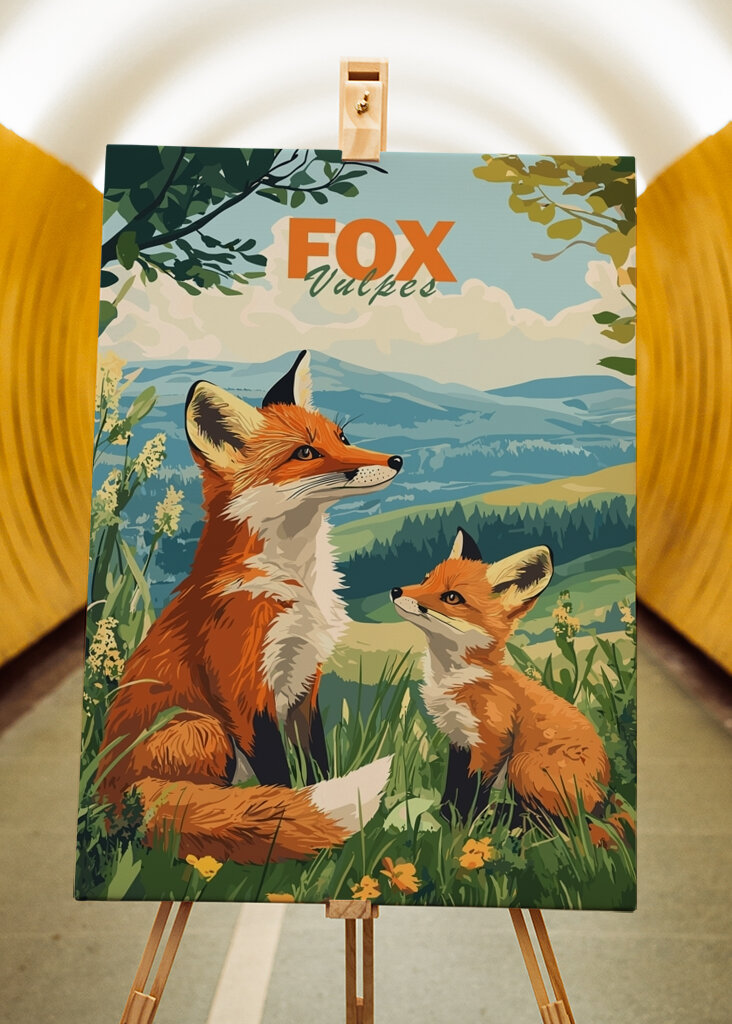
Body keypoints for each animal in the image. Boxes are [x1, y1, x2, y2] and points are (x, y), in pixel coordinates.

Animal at [94, 350, 402, 865]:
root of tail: (104, 794)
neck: (294, 583)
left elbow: (316, 765)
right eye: (305, 453)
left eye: (342, 438)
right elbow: (279, 779)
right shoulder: (244, 690)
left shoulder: (304, 682)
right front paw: (288, 832)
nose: (396, 459)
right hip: (206, 730)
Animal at [390, 528, 616, 832]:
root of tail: (605, 797)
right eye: (426, 579)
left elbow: (471, 793)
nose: (395, 591)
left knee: (561, 825)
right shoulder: (459, 739)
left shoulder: (491, 741)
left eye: (452, 597)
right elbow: (453, 788)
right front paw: (446, 820)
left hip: (522, 765)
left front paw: (461, 830)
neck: (457, 679)